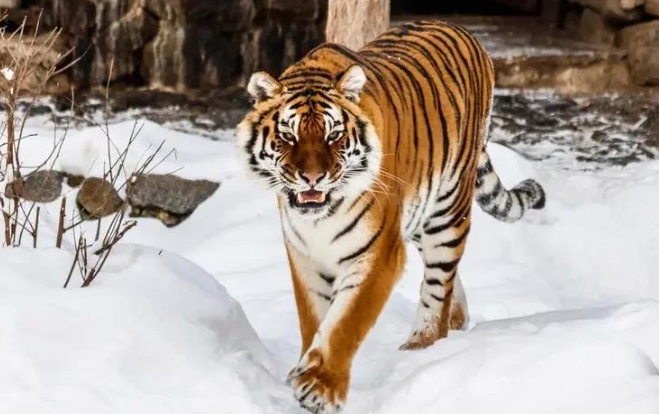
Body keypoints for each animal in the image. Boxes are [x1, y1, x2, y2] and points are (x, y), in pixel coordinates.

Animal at [237, 20, 548, 414]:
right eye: (288, 136)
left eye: (333, 135)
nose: (312, 178)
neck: (320, 218)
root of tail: (462, 29)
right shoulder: (305, 255)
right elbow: (315, 319)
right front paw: (306, 369)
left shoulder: (379, 253)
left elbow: (345, 323)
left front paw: (321, 387)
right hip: (416, 216)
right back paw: (457, 318)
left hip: (447, 210)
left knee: (438, 282)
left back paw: (422, 344)